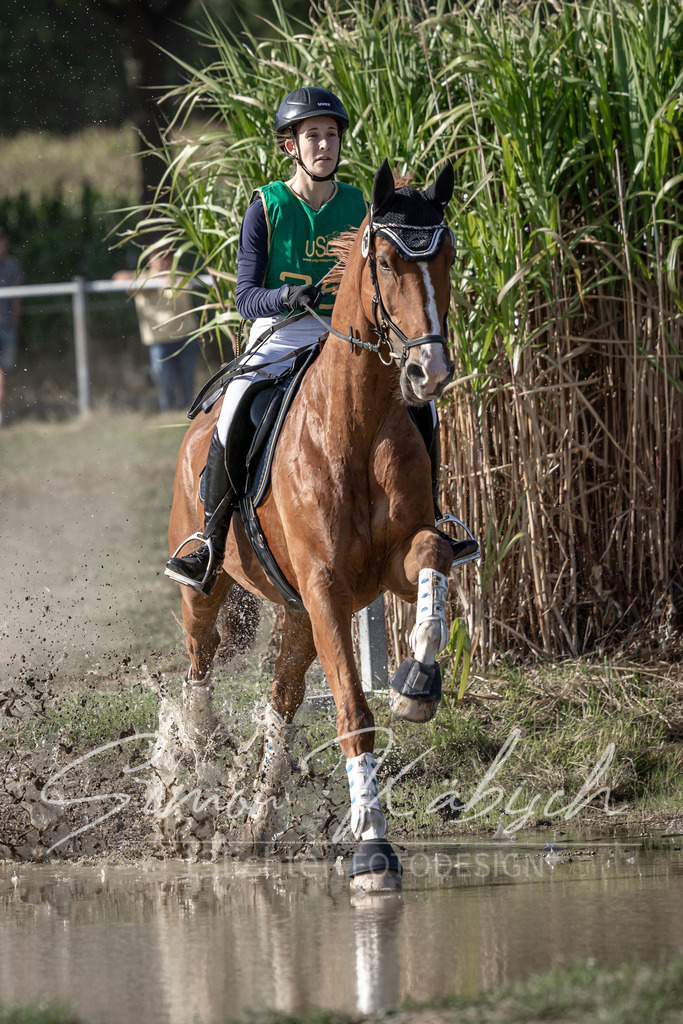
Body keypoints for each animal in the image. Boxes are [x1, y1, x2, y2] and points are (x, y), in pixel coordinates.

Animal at [167, 159, 461, 890]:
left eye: (445, 255)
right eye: (385, 260)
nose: (429, 372)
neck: (354, 422)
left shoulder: (386, 567)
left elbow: (434, 558)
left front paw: (417, 685)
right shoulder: (327, 587)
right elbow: (353, 714)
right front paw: (372, 850)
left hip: (297, 612)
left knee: (280, 701)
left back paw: (255, 823)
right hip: (208, 588)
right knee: (199, 663)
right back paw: (195, 765)